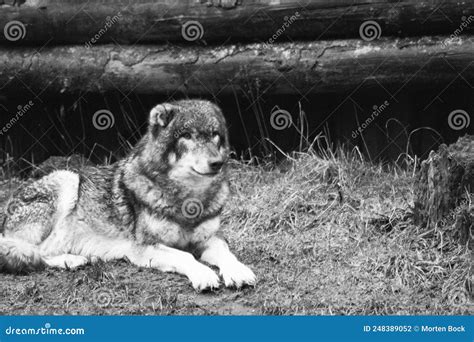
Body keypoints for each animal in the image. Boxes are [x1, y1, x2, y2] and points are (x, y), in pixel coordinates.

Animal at [0, 100, 256, 290]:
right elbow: (186, 257)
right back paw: (70, 260)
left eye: (215, 135)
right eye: (187, 135)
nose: (217, 163)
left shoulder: (211, 238)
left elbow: (227, 255)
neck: (189, 200)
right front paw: (204, 275)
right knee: (31, 252)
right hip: (67, 179)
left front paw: (239, 272)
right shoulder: (144, 247)